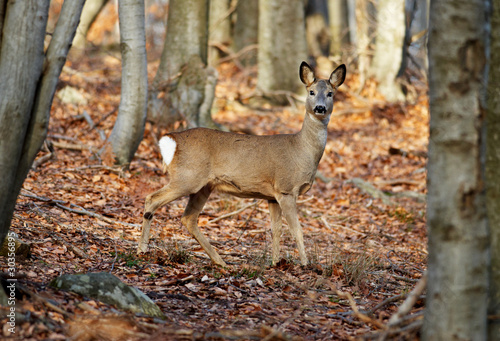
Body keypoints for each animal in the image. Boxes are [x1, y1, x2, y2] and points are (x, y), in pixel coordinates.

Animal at [137, 62, 348, 266]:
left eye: (330, 93)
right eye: (311, 92)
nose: (320, 108)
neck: (302, 151)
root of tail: (171, 140)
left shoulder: (272, 196)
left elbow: (276, 230)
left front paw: (275, 262)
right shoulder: (286, 188)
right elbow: (297, 229)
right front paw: (305, 264)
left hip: (204, 186)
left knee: (188, 218)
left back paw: (220, 261)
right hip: (188, 177)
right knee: (152, 199)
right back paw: (142, 249)